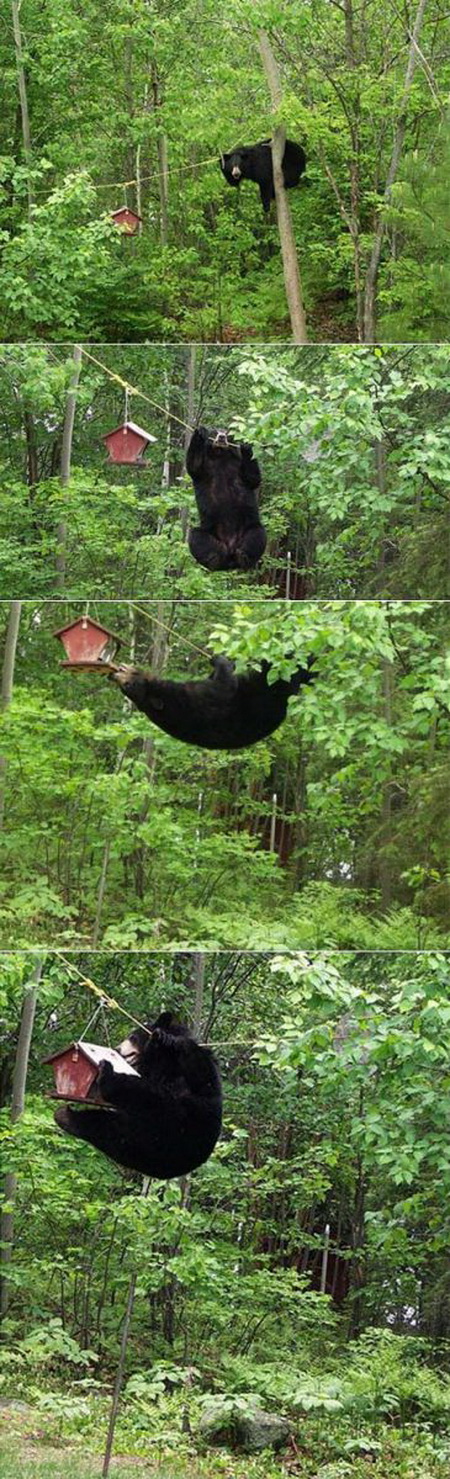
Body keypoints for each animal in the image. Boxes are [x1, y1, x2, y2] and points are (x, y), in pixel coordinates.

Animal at [54, 1011, 222, 1180]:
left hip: (167, 1128)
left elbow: (199, 1070)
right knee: (102, 1125)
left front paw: (161, 1039)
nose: (118, 1049)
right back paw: (65, 1116)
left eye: (133, 1037)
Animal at [110, 654, 315, 750]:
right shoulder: (198, 700)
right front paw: (220, 660)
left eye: (127, 685)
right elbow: (225, 686)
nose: (114, 675)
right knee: (290, 671)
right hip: (272, 690)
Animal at [186, 425, 267, 572]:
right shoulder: (205, 466)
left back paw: (244, 557)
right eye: (215, 431)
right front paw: (200, 432)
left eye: (227, 432)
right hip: (209, 531)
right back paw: (214, 559)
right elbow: (194, 465)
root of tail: (230, 557)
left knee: (257, 534)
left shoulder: (238, 463)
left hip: (248, 528)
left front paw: (246, 446)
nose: (222, 437)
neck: (220, 454)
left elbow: (253, 478)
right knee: (196, 536)